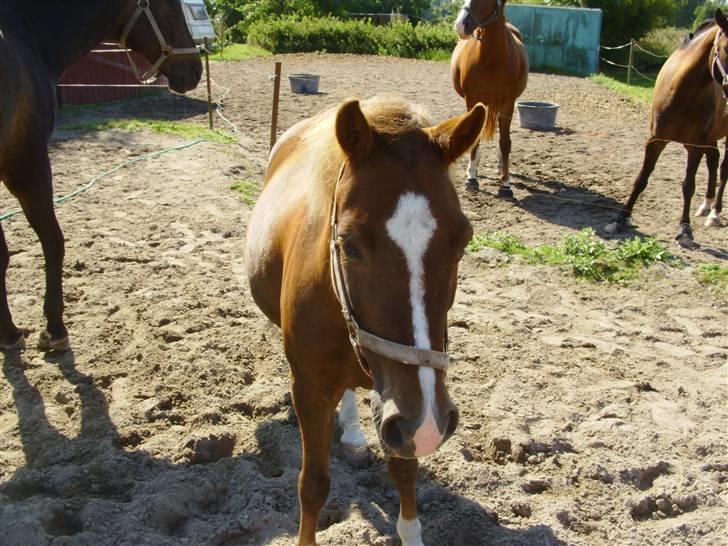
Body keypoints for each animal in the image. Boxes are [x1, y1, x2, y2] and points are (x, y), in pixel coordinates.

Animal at [0, 0, 202, 348]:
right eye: (175, 9)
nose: (196, 69)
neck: (25, 33)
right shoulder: (28, 162)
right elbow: (52, 241)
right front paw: (54, 328)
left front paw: (9, 331)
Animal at [246, 98, 490, 544]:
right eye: (349, 245)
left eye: (463, 241)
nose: (430, 423)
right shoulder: (311, 389)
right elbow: (313, 485)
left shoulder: (406, 415)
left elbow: (405, 471)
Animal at [452, 0, 528, 196]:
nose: (461, 25)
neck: (491, 58)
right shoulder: (472, 100)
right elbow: (475, 139)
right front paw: (471, 178)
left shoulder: (508, 103)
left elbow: (505, 142)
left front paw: (506, 184)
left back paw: (501, 168)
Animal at [604, 9, 728, 246]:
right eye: (726, 48)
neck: (682, 91)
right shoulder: (655, 140)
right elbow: (641, 180)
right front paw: (620, 218)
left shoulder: (694, 146)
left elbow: (688, 186)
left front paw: (685, 229)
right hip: (710, 138)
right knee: (714, 162)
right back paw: (706, 206)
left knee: (723, 169)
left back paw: (715, 214)